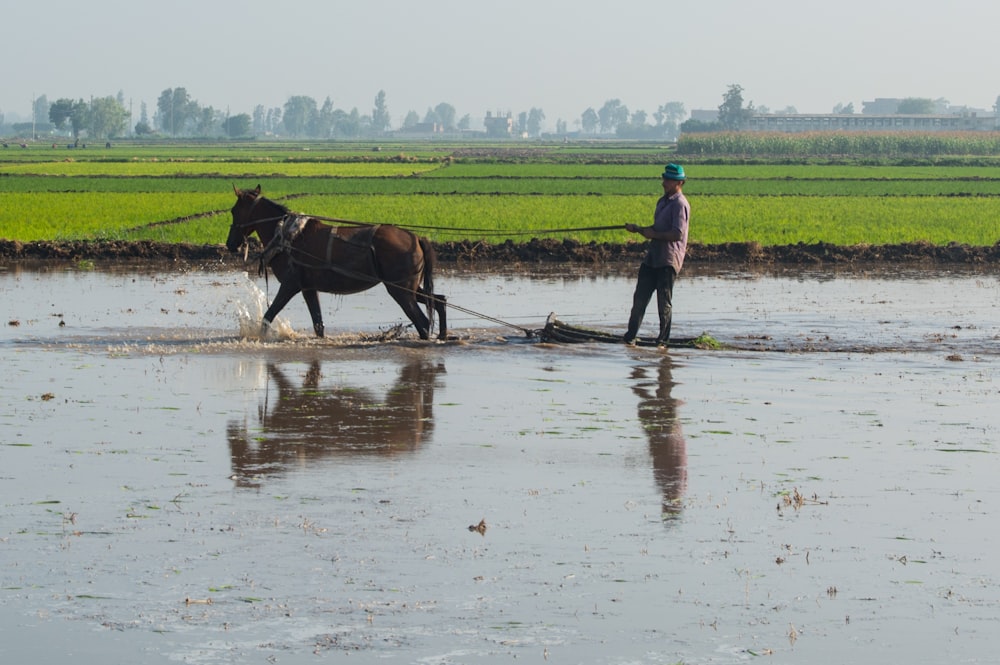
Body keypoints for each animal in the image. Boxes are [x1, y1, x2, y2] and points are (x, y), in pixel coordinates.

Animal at [229, 184, 448, 340]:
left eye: (233, 210)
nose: (231, 243)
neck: (289, 236)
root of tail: (416, 238)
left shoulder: (291, 285)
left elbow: (269, 315)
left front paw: (258, 337)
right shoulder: (308, 288)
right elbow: (318, 325)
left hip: (400, 290)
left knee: (422, 321)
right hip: (409, 287)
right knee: (439, 301)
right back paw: (443, 335)